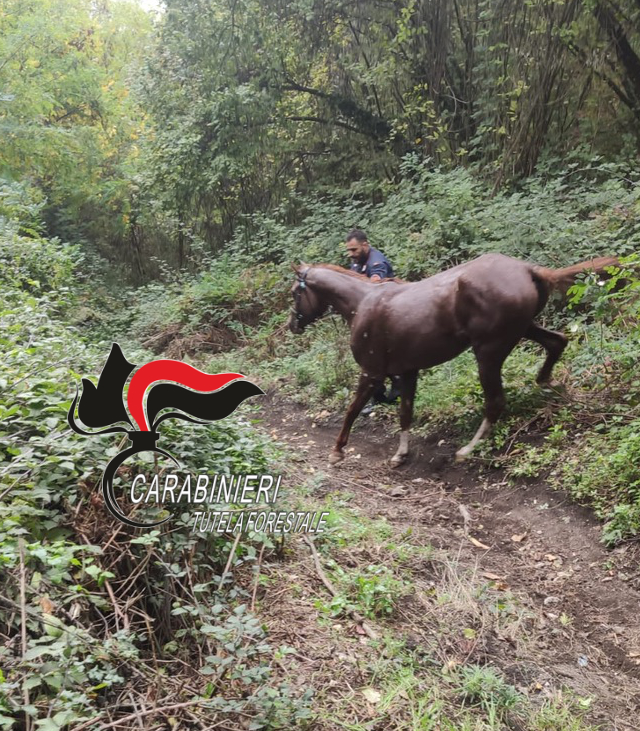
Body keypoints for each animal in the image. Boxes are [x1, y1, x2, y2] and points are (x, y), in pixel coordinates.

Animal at [288, 254, 616, 466]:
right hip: (524, 330)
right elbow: (405, 412)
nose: (292, 325)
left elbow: (352, 410)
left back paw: (467, 450)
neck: (363, 302)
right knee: (557, 342)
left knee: (495, 402)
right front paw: (400, 454)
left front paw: (337, 450)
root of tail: (527, 270)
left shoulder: (371, 372)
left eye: (294, 293)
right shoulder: (408, 371)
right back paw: (548, 383)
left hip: (488, 353)